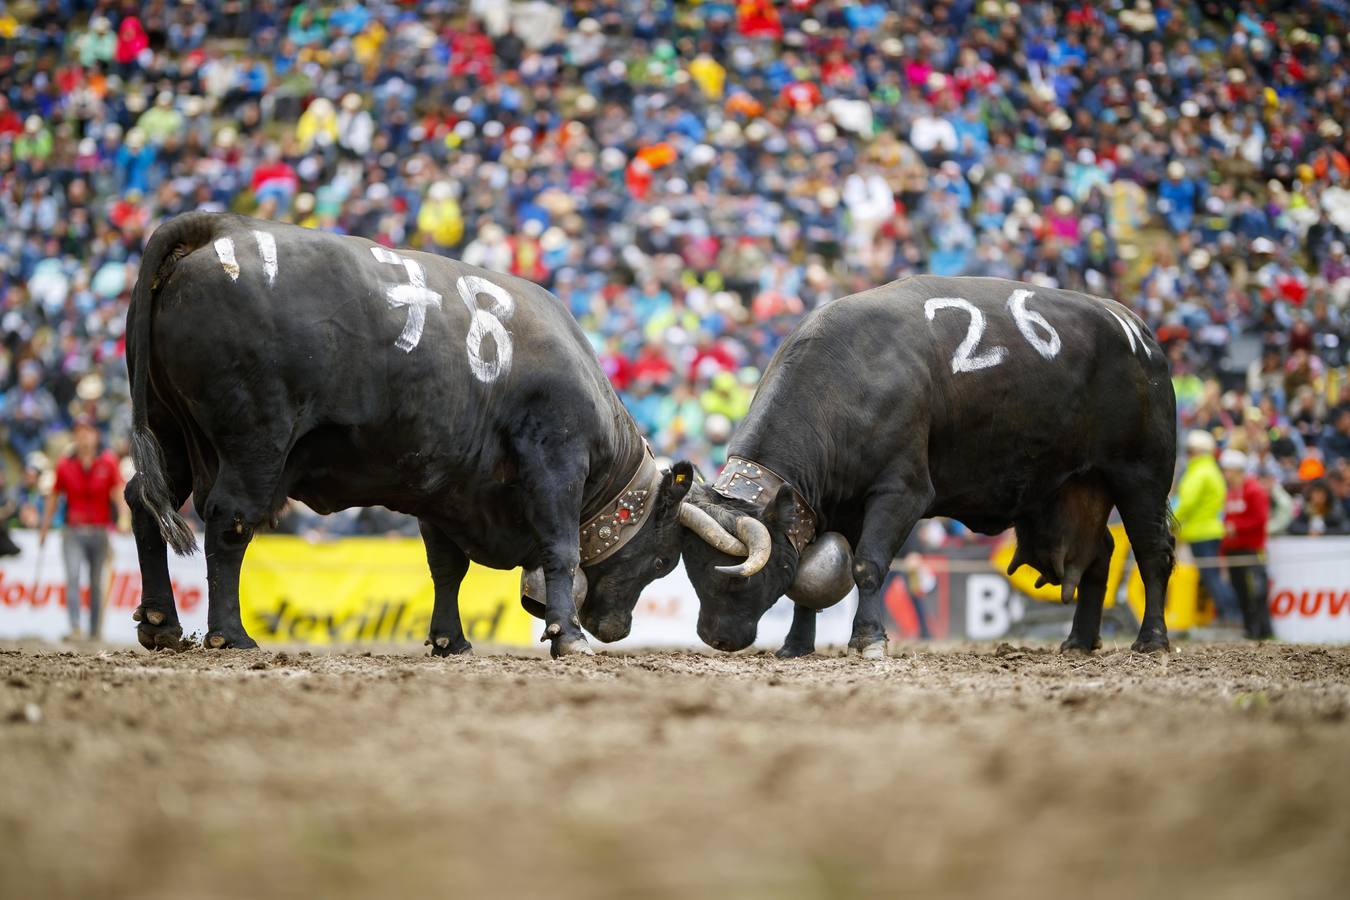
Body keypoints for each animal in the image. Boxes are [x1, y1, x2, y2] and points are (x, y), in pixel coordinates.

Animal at [125, 212, 695, 657]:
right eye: (662, 560)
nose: (613, 629)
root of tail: (221, 226)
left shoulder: (445, 487)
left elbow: (446, 567)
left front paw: (450, 640)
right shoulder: (556, 460)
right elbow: (561, 547)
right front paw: (568, 636)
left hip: (168, 431)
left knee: (143, 501)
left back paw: (161, 622)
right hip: (254, 440)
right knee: (229, 521)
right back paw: (230, 634)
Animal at [671, 275, 1177, 658]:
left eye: (734, 576)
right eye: (693, 571)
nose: (714, 636)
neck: (849, 380)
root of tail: (1136, 329)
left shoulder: (902, 492)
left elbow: (867, 566)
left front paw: (869, 639)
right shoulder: (827, 507)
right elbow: (808, 579)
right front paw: (796, 644)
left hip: (1141, 476)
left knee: (1152, 553)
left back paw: (1151, 639)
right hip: (1075, 490)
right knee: (1101, 555)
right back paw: (1078, 640)